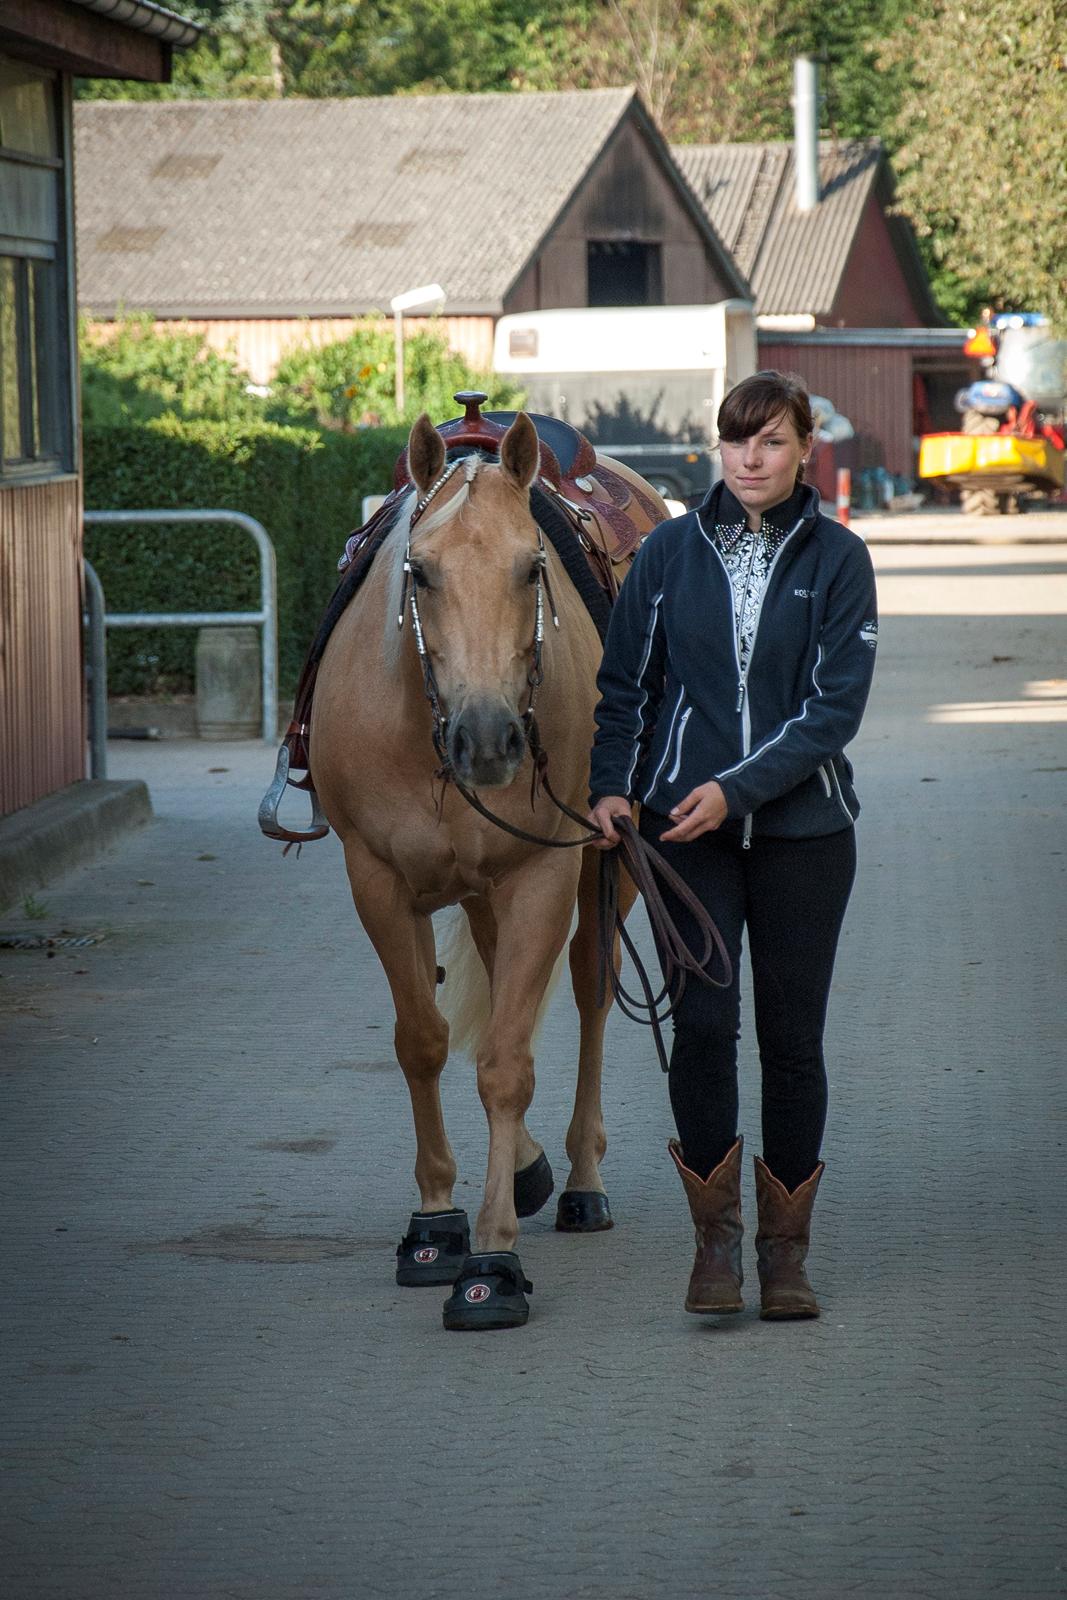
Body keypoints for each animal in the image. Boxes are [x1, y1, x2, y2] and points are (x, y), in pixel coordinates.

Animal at [303, 409, 662, 1324]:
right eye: (419, 572)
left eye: (531, 566)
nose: (490, 739)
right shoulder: (376, 881)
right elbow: (423, 1042)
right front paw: (436, 1222)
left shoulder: (542, 878)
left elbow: (505, 1065)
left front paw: (493, 1259)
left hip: (607, 872)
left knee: (590, 990)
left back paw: (579, 1181)